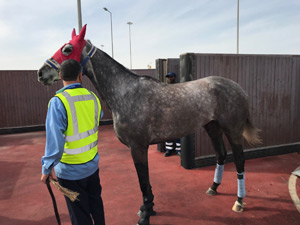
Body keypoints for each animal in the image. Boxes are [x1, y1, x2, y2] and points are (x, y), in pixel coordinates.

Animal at [37, 25, 262, 225]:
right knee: (221, 155)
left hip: (232, 130)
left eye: (67, 49)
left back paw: (239, 201)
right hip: (212, 127)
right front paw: (148, 209)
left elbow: (143, 182)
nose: (41, 73)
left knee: (239, 161)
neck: (126, 93)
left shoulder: (138, 147)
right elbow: (145, 182)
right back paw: (213, 188)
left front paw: (145, 214)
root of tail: (237, 87)